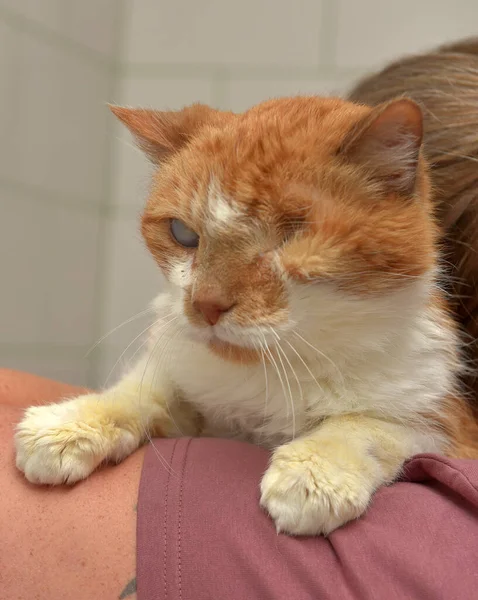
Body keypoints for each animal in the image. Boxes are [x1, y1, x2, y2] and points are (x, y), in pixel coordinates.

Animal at [13, 96, 476, 536]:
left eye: (291, 237)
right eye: (183, 234)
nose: (206, 305)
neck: (269, 372)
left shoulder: (446, 424)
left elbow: (368, 425)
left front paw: (314, 472)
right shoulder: (190, 391)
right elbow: (143, 390)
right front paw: (69, 424)